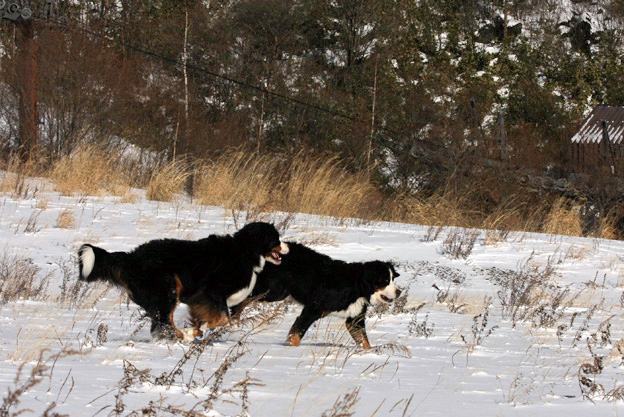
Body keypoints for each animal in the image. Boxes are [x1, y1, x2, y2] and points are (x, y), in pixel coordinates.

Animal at [78, 221, 290, 338]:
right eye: (276, 239)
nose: (288, 247)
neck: (245, 251)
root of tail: (132, 257)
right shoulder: (212, 291)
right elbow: (222, 318)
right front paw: (193, 332)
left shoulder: (201, 300)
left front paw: (197, 331)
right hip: (167, 289)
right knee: (164, 322)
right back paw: (182, 338)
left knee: (161, 323)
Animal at [233, 240, 400, 348]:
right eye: (385, 281)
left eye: (393, 279)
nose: (399, 292)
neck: (357, 286)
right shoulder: (312, 309)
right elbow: (296, 334)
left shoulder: (355, 319)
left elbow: (364, 342)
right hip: (271, 290)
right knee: (244, 297)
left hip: (278, 293)